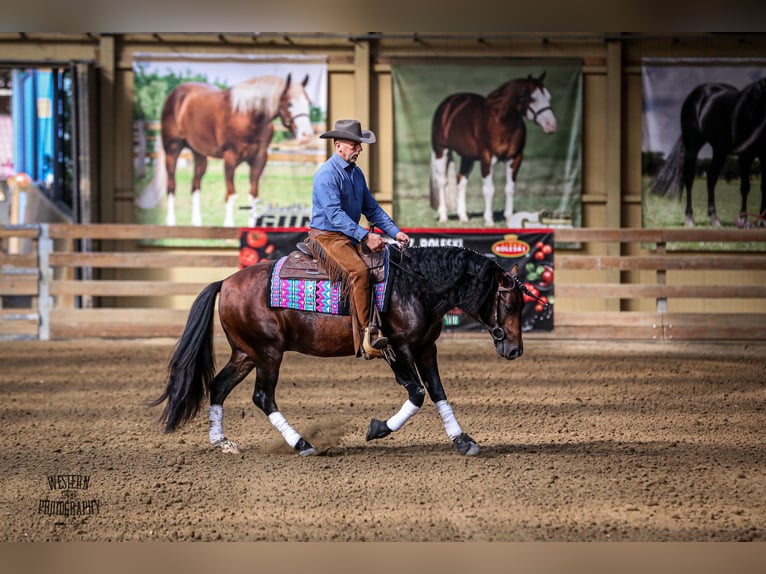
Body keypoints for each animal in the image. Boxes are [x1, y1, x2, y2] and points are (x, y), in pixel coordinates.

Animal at [151, 244, 527, 457]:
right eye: (509, 305)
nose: (515, 350)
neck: (414, 285)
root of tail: (226, 282)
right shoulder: (398, 349)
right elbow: (418, 393)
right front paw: (378, 429)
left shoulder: (425, 348)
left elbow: (437, 392)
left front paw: (463, 440)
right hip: (269, 354)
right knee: (263, 397)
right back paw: (303, 444)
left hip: (245, 354)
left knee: (218, 387)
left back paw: (222, 443)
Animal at [159, 74, 314, 227]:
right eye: (289, 104)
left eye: (308, 103)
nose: (306, 135)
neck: (246, 116)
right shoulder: (230, 158)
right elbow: (231, 194)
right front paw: (228, 225)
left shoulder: (259, 158)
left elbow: (253, 195)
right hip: (172, 149)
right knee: (171, 185)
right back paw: (171, 221)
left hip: (199, 155)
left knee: (195, 185)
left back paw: (196, 222)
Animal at [430, 72, 558, 228]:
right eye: (531, 98)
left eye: (548, 98)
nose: (551, 126)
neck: (500, 122)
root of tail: (447, 104)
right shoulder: (487, 158)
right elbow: (489, 190)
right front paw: (489, 220)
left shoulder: (515, 158)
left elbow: (510, 188)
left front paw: (509, 219)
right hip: (441, 151)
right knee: (442, 182)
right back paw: (443, 216)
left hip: (468, 157)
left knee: (462, 181)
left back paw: (463, 216)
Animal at [650, 77, 766, 228]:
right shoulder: (745, 157)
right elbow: (745, 187)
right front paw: (743, 220)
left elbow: (763, 187)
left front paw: (762, 221)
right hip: (693, 147)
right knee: (690, 179)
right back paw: (690, 218)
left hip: (719, 151)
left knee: (711, 178)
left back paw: (714, 218)